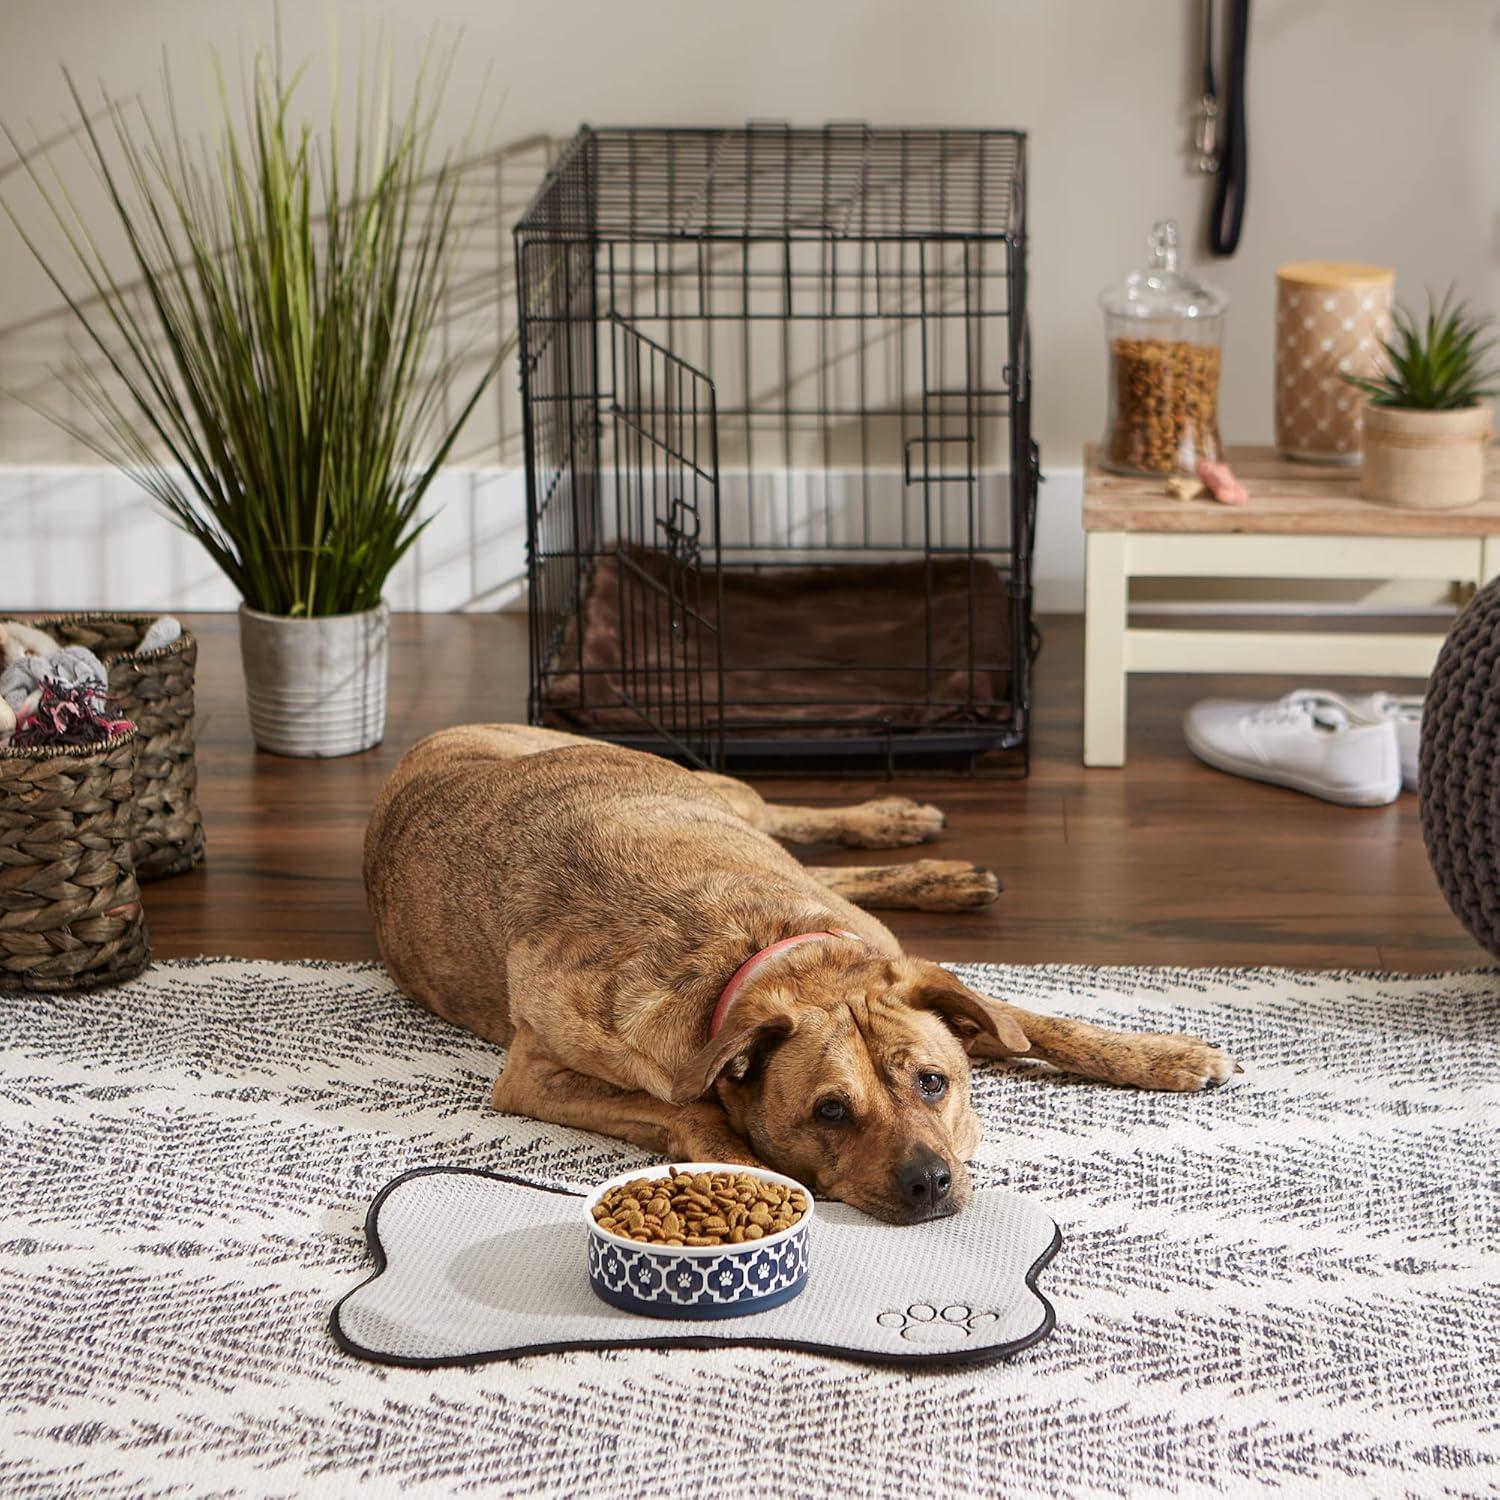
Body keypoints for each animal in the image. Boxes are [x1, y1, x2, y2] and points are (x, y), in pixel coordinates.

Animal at [363, 720, 1230, 1224]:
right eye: (831, 1112)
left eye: (934, 1083)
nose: (929, 1184)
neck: (778, 954)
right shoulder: (536, 1077)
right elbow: (692, 1111)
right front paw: (748, 1172)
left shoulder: (919, 981)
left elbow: (1039, 1023)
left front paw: (1166, 1054)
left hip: (718, 791)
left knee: (789, 819)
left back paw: (902, 833)